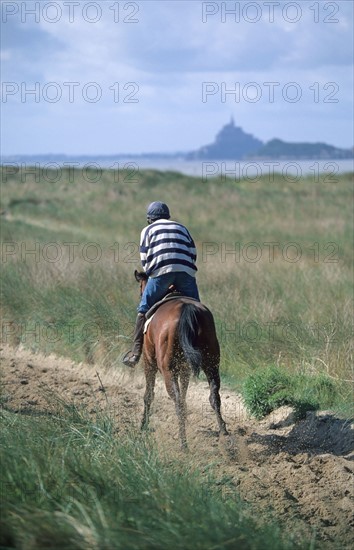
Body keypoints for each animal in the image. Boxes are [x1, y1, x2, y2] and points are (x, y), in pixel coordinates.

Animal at [134, 270, 228, 450]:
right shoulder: (185, 368)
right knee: (214, 396)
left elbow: (149, 394)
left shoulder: (149, 363)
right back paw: (224, 434)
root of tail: (187, 309)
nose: (141, 295)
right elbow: (185, 394)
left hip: (167, 370)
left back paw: (183, 444)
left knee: (177, 401)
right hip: (211, 365)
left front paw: (142, 425)